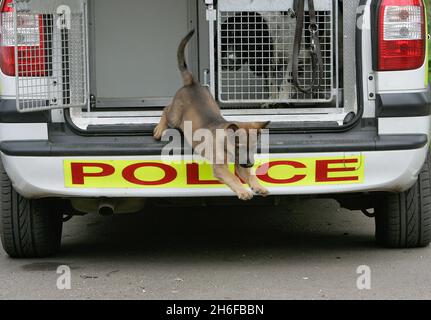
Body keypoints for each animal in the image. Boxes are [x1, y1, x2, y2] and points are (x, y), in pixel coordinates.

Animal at [154, 30, 270, 200]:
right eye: (239, 146)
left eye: (255, 146)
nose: (250, 163)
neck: (226, 144)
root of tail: (192, 83)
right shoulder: (220, 167)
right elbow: (233, 177)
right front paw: (243, 191)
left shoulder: (240, 165)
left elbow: (250, 175)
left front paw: (259, 187)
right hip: (175, 116)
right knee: (166, 109)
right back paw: (159, 129)